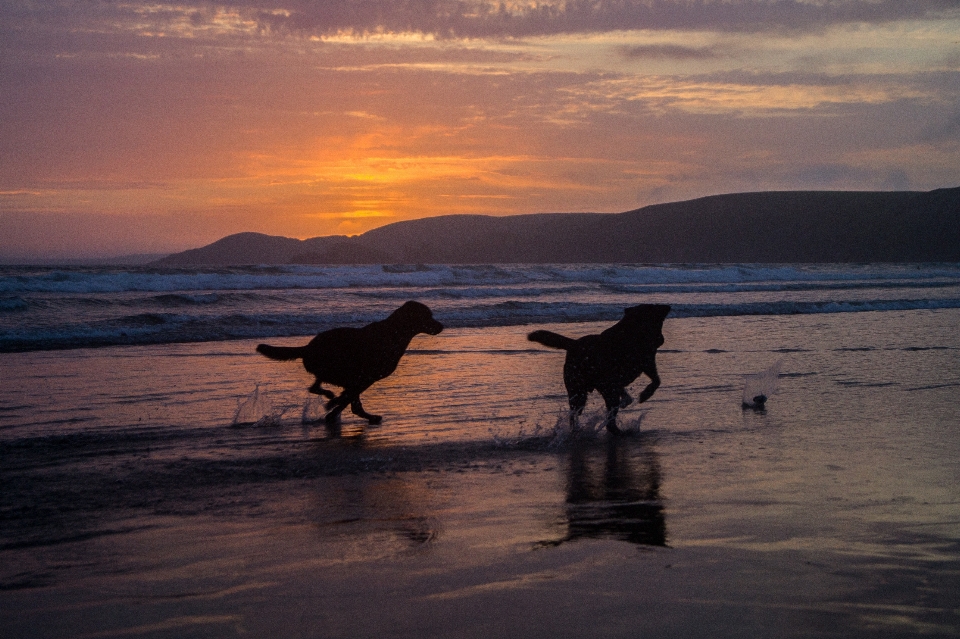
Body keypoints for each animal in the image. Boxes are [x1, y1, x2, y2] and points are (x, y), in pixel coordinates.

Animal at [258, 302, 446, 424]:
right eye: (428, 316)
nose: (442, 326)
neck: (395, 332)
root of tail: (307, 348)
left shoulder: (365, 378)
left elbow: (349, 399)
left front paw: (334, 409)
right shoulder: (366, 377)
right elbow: (349, 398)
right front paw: (333, 406)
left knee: (318, 387)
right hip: (336, 369)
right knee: (322, 388)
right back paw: (333, 400)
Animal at [528, 304, 672, 436]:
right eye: (654, 309)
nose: (667, 306)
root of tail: (573, 344)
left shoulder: (645, 364)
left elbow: (655, 380)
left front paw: (634, 397)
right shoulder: (645, 362)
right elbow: (655, 381)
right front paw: (644, 395)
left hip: (586, 391)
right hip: (581, 392)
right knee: (600, 418)